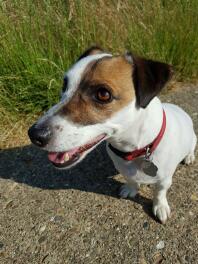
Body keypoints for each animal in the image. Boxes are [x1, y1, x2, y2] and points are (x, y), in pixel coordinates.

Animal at [27, 47, 196, 223]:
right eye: (65, 85)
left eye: (103, 94)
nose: (34, 134)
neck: (136, 149)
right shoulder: (123, 168)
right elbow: (131, 180)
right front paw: (131, 189)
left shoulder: (164, 179)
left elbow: (160, 192)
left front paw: (160, 206)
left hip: (193, 140)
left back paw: (189, 157)